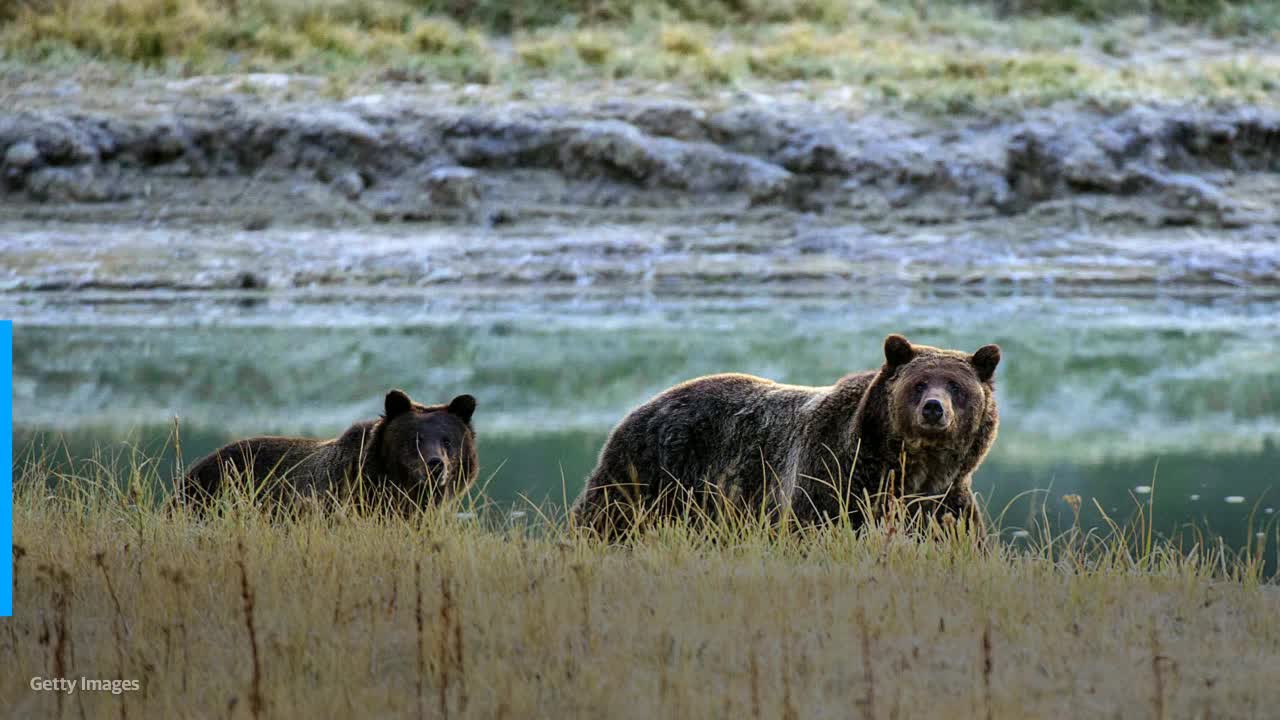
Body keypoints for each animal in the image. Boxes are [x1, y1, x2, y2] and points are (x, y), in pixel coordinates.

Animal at [570, 333, 998, 535]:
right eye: (919, 383)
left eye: (956, 385)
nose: (934, 408)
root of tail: (641, 406)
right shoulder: (831, 478)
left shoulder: (944, 502)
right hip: (650, 473)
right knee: (607, 519)